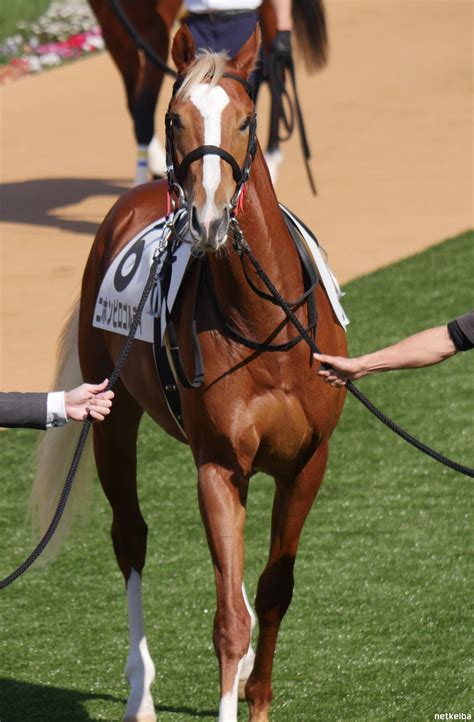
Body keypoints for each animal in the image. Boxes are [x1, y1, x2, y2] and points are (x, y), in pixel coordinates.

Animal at [32, 26, 345, 722]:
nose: (206, 219)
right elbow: (228, 619)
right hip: (111, 415)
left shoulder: (308, 459)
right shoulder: (219, 464)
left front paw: (258, 694)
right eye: (174, 119)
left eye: (247, 118)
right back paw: (140, 693)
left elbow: (275, 588)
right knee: (130, 537)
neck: (266, 328)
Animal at [88, 0, 328, 185]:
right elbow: (136, 107)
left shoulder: (155, 30)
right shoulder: (115, 31)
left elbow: (144, 109)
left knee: (277, 71)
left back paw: (272, 159)